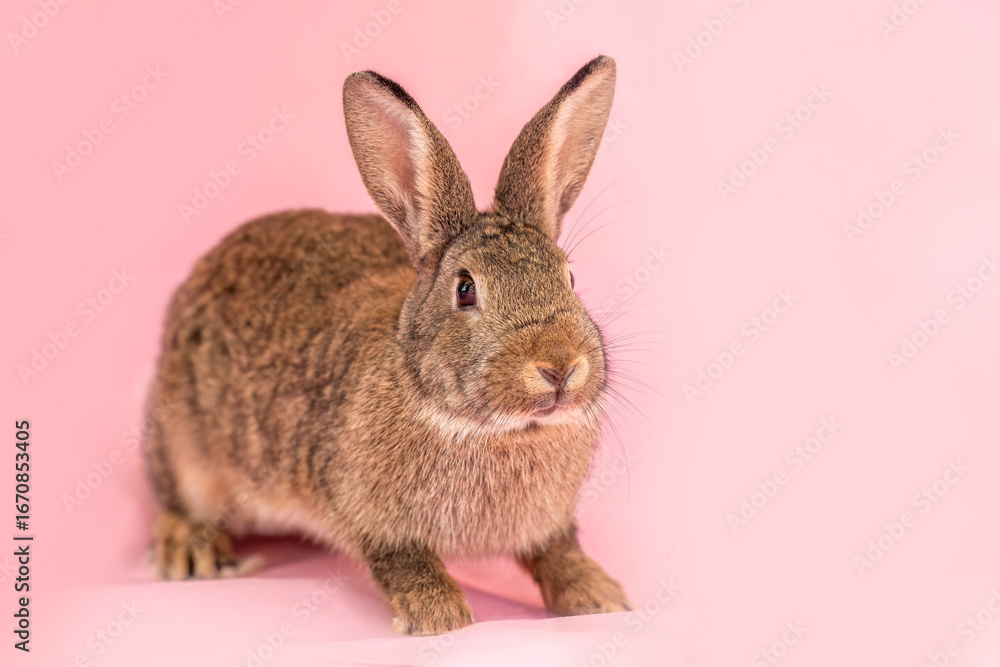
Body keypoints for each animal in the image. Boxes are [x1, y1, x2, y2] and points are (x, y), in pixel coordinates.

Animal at [143, 54, 631, 635]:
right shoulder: (374, 519)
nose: (559, 366)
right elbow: (405, 562)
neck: (488, 427)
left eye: (570, 278)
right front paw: (440, 616)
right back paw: (190, 551)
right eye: (466, 289)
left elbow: (558, 552)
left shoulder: (549, 525)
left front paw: (601, 597)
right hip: (186, 451)